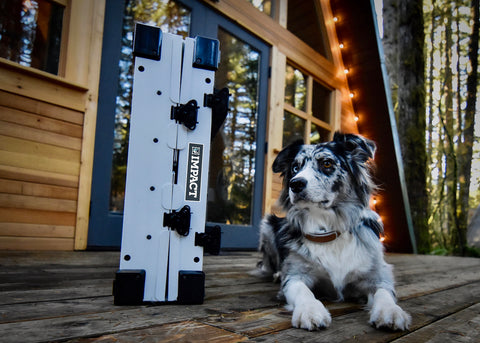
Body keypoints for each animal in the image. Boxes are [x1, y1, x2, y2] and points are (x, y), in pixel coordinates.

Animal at [256, 133, 410, 332]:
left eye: (327, 163)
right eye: (295, 167)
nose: (295, 183)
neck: (327, 230)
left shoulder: (376, 274)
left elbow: (384, 292)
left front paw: (390, 311)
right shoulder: (295, 276)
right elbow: (302, 290)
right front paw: (310, 310)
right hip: (267, 224)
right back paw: (276, 274)